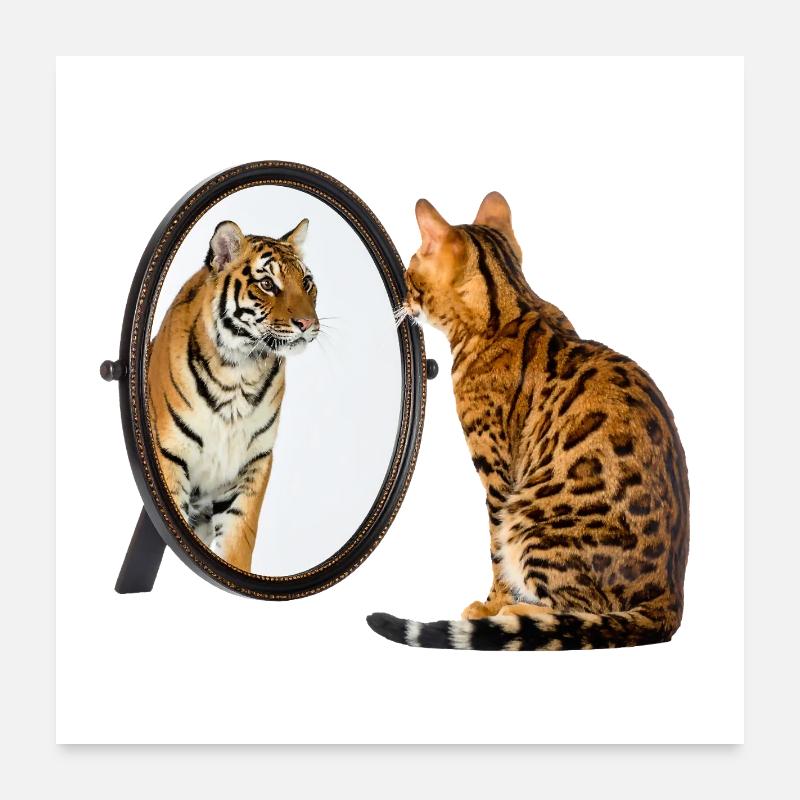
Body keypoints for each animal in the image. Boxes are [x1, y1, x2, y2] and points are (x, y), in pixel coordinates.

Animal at [147, 218, 319, 571]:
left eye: (307, 283)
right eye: (267, 284)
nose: (307, 323)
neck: (241, 371)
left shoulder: (252, 463)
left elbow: (239, 538)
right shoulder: (169, 455)